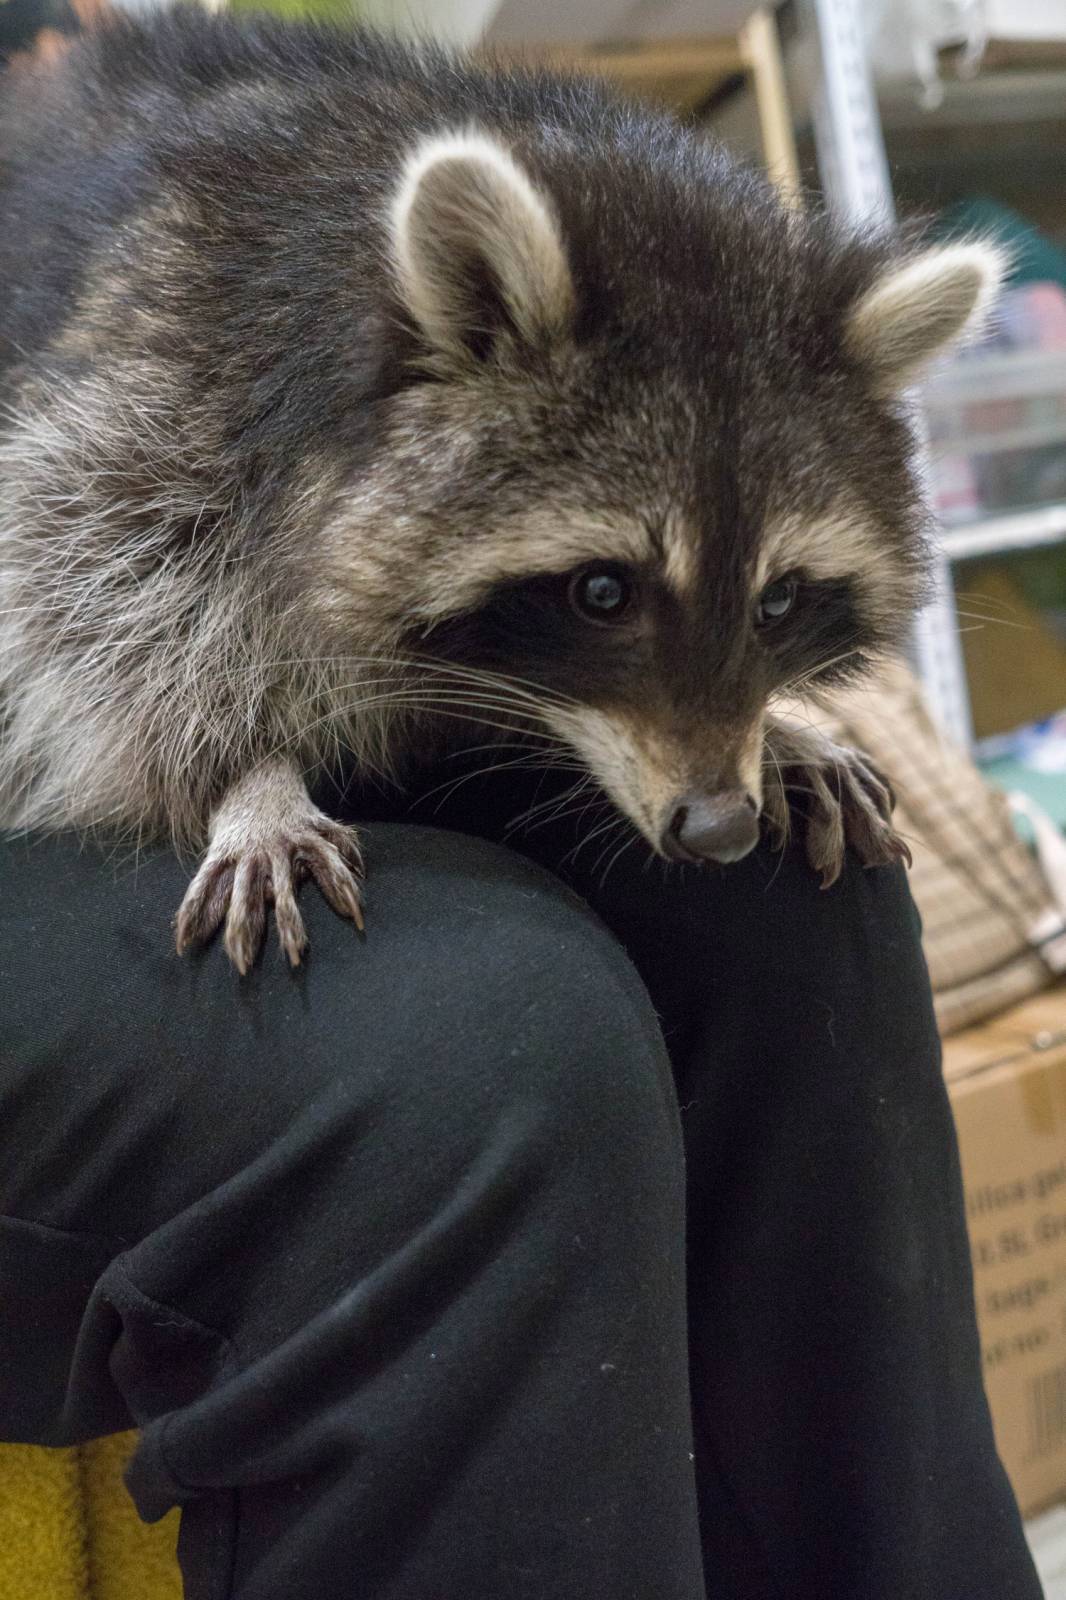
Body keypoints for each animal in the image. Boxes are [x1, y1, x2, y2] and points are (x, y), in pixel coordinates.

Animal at [0, 12, 998, 966]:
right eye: (603, 592)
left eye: (779, 600)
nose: (720, 830)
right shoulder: (180, 361)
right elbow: (83, 585)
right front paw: (247, 774)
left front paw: (779, 726)